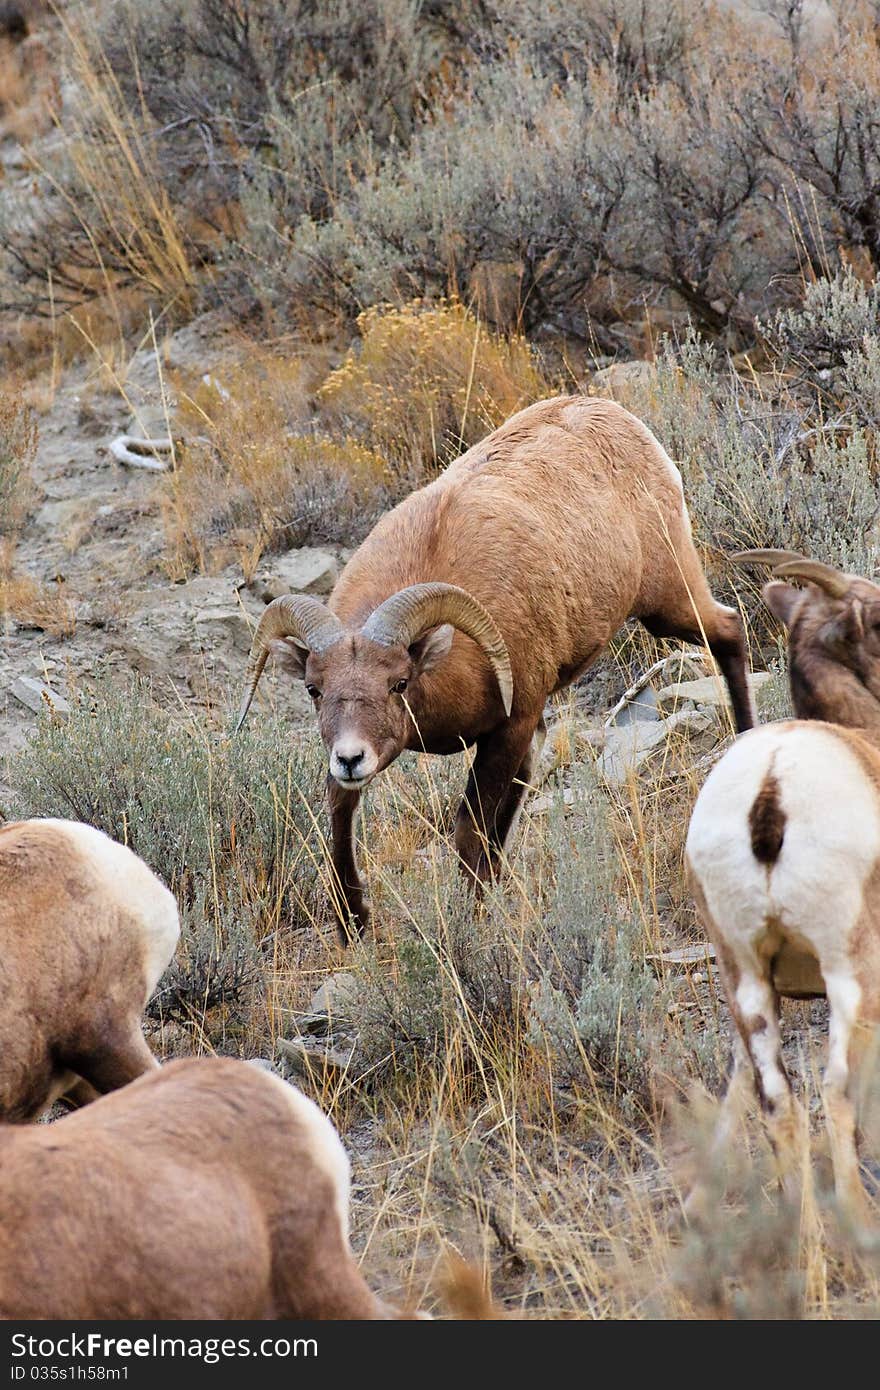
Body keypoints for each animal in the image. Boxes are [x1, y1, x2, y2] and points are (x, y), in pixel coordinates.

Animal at [236, 403, 750, 945]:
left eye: (400, 684)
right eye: (314, 689)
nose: (352, 758)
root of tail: (623, 421)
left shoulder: (509, 728)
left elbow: (470, 828)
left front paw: (470, 919)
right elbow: (340, 815)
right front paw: (353, 921)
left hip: (670, 601)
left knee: (728, 633)